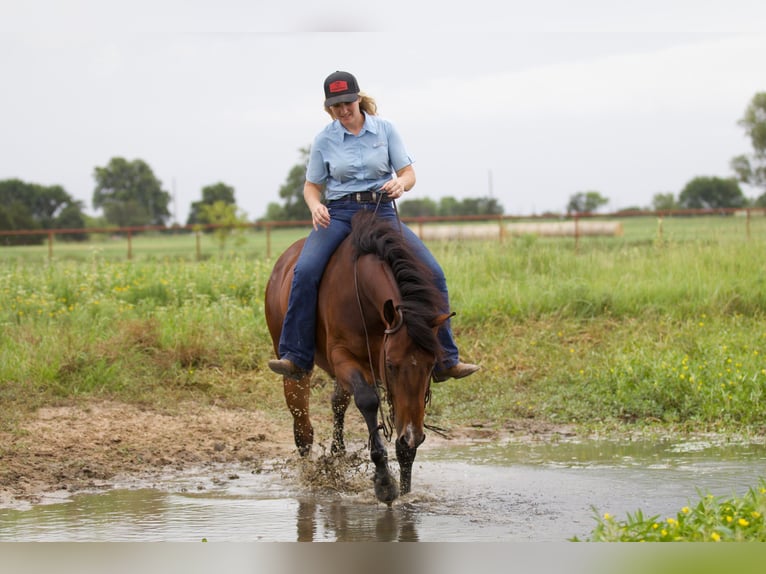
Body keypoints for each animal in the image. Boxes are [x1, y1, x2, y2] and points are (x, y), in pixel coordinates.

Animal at [268, 210, 452, 504]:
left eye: (432, 365)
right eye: (390, 365)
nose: (412, 437)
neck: (363, 299)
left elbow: (401, 433)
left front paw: (405, 488)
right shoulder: (345, 358)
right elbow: (367, 401)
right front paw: (384, 483)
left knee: (338, 403)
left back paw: (338, 456)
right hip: (295, 368)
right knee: (302, 427)